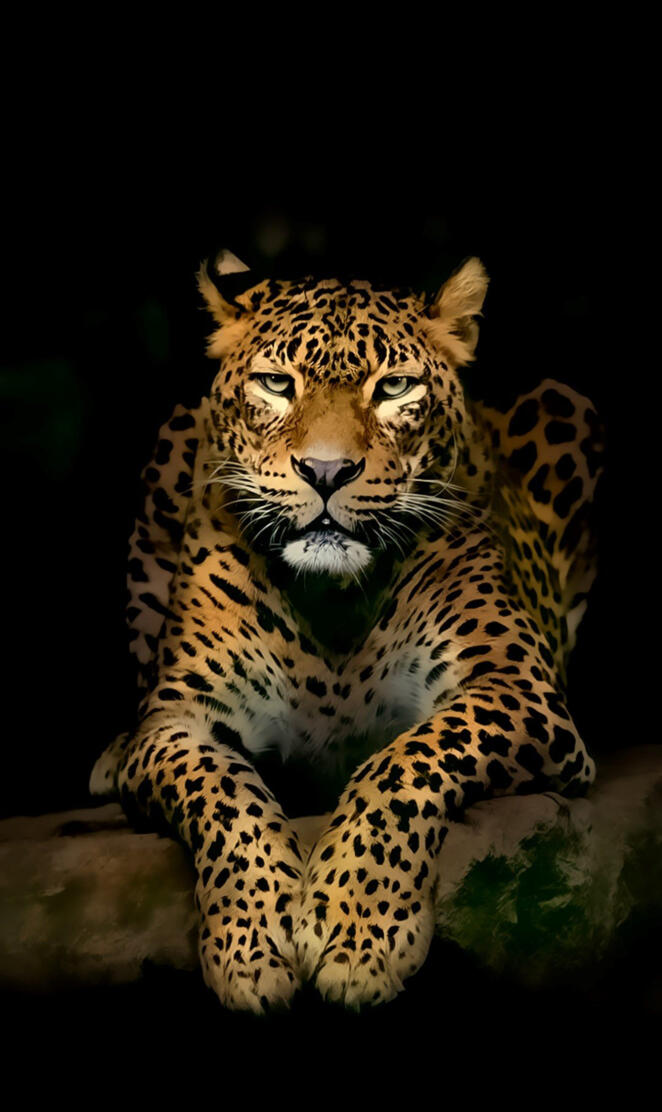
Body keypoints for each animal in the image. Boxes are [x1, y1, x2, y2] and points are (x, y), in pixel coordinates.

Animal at [90, 251, 604, 1014]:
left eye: (394, 388)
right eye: (277, 384)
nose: (327, 471)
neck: (331, 601)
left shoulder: (516, 687)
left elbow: (404, 763)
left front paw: (357, 934)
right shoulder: (180, 721)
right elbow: (223, 794)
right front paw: (252, 944)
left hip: (568, 405)